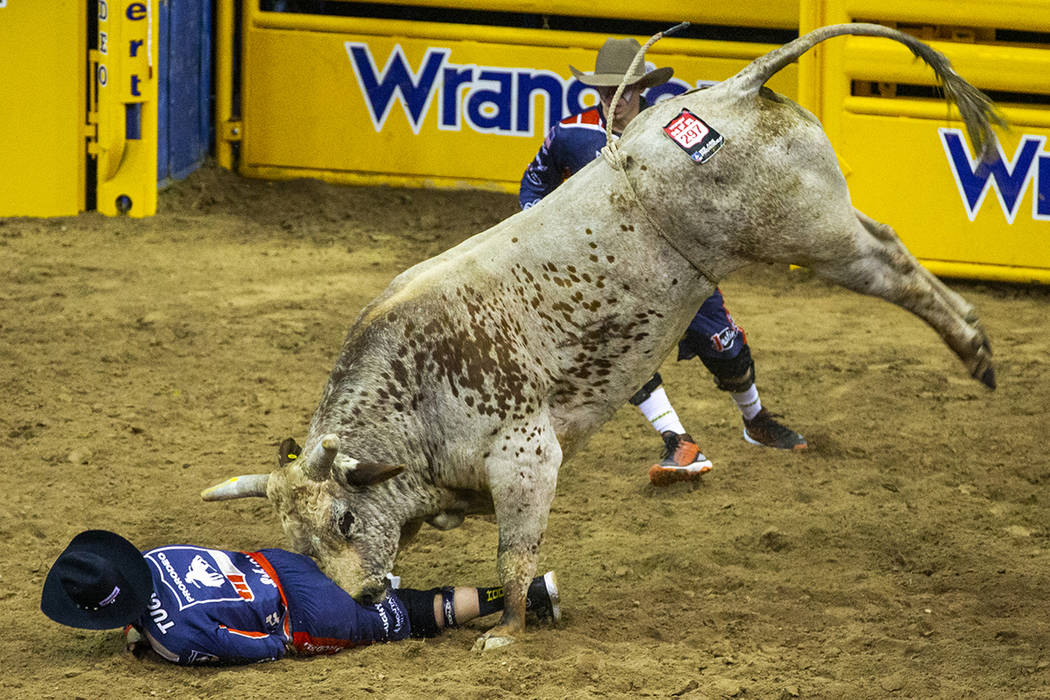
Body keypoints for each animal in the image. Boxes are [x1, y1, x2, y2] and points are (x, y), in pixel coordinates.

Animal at [202, 24, 999, 650]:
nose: (364, 598)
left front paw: (506, 632)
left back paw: (977, 351)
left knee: (890, 262)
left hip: (804, 230)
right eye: (299, 547)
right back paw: (975, 346)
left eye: (343, 518)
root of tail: (731, 90)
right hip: (817, 224)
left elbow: (514, 553)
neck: (415, 391)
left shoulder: (525, 459)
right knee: (884, 245)